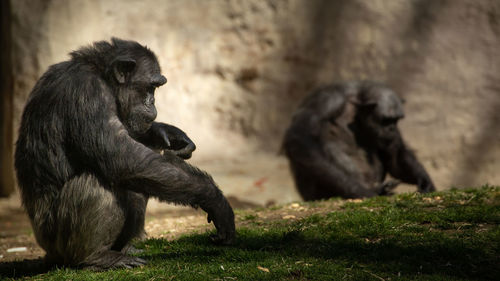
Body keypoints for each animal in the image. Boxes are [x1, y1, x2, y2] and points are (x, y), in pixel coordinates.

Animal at [14, 37, 236, 270]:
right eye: (151, 86)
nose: (152, 102)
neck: (103, 77)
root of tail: (46, 253)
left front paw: (168, 133)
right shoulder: (87, 93)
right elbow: (122, 157)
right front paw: (215, 200)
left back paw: (125, 249)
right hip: (54, 242)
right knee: (98, 181)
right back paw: (96, 257)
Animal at [284, 80, 436, 200]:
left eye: (396, 119)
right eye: (385, 120)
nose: (392, 128)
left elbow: (394, 158)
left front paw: (424, 180)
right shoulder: (327, 100)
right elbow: (300, 137)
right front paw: (360, 190)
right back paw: (375, 189)